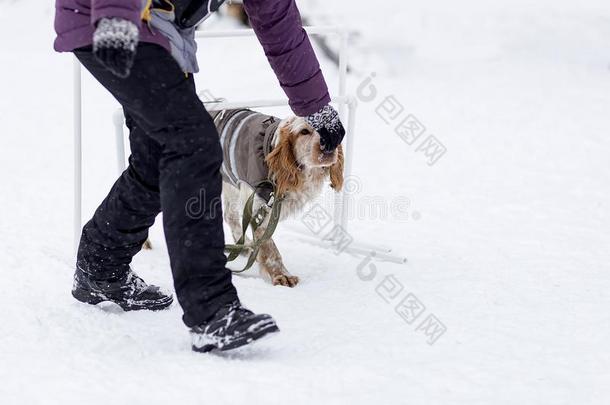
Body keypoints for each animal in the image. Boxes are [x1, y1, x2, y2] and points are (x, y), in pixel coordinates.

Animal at [210, 109, 342, 286]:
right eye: (304, 131)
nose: (327, 147)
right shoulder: (258, 206)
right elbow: (269, 247)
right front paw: (281, 274)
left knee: (230, 216)